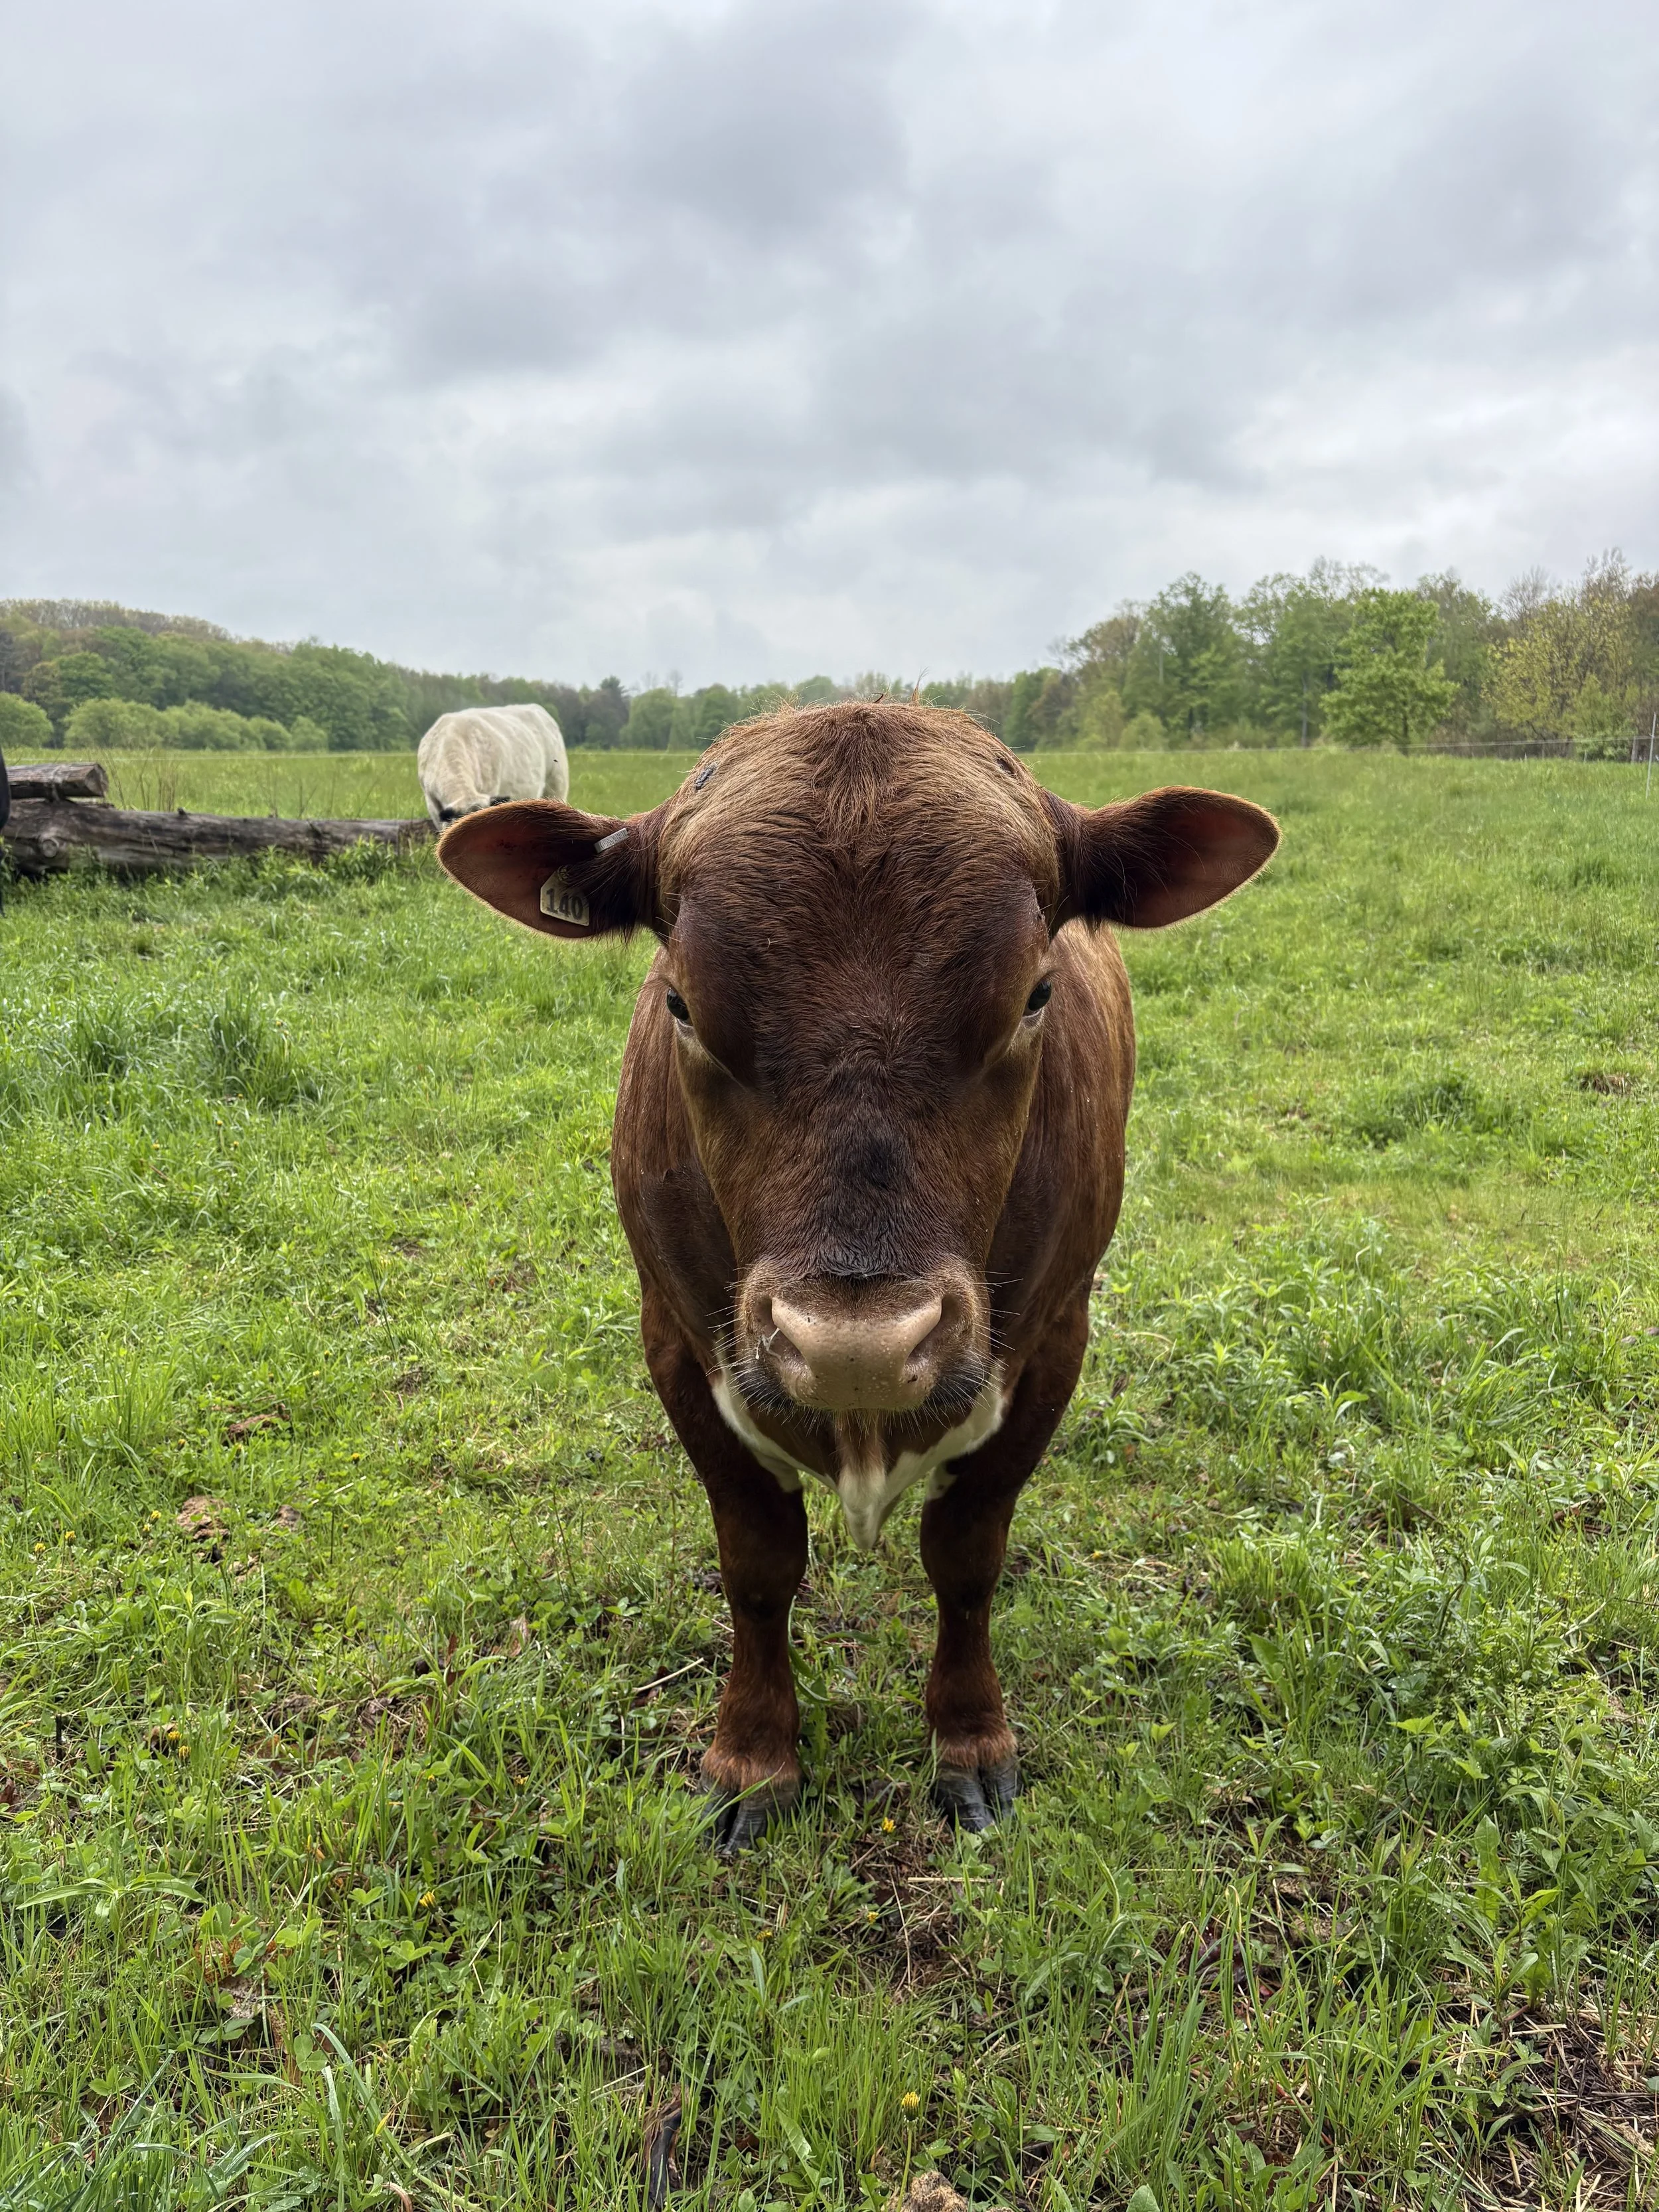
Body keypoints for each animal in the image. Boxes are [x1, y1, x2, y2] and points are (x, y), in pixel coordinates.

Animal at [438, 702, 1277, 1849]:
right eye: (682, 1005)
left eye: (1035, 994)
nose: (857, 1351)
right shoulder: (680, 1344)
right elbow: (757, 1567)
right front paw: (753, 1755)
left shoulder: (1053, 1343)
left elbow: (967, 1557)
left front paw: (970, 1740)